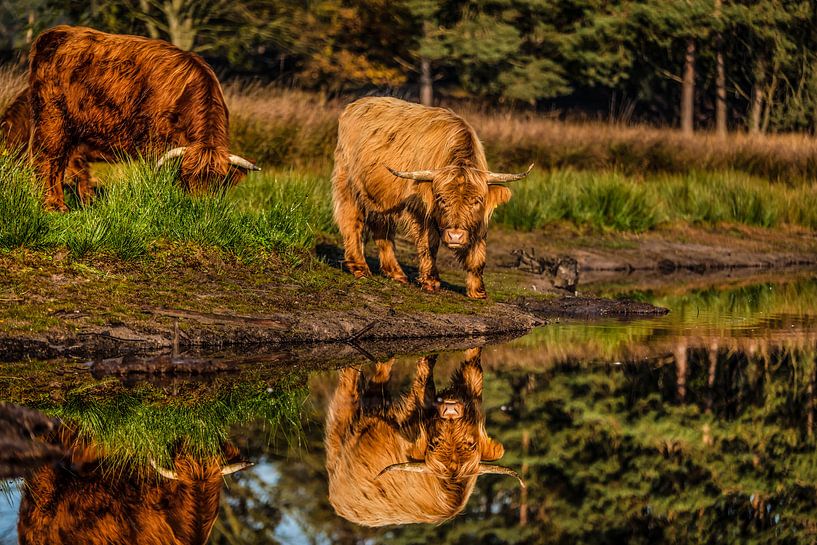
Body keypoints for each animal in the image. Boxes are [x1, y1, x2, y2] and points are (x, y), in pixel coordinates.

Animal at [28, 26, 256, 211]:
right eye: (187, 179)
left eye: (218, 181)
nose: (200, 207)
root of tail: (56, 33)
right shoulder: (155, 142)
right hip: (53, 119)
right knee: (49, 159)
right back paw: (54, 205)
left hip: (75, 130)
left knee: (67, 162)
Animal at [322, 348, 520, 528]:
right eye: (434, 443)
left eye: (470, 443)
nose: (451, 410)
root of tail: (337, 503)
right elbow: (431, 378)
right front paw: (430, 356)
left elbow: (471, 367)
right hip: (341, 427)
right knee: (350, 389)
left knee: (375, 385)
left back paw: (383, 362)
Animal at [330, 96, 528, 298]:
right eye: (441, 199)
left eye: (476, 201)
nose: (455, 236)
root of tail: (355, 104)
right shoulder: (421, 211)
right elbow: (429, 244)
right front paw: (431, 281)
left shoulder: (479, 220)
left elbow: (478, 251)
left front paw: (477, 291)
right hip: (348, 183)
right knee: (351, 221)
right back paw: (360, 268)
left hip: (382, 198)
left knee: (382, 229)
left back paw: (396, 273)